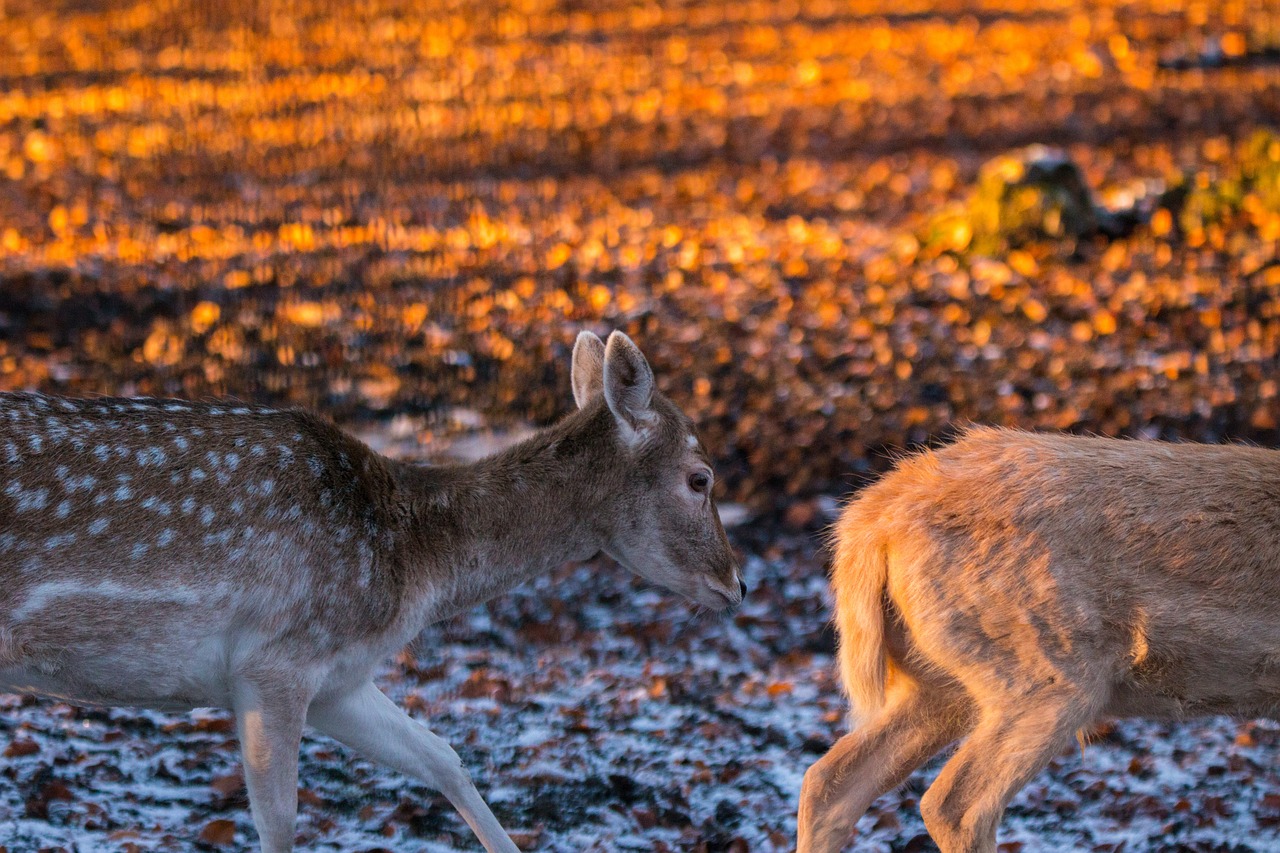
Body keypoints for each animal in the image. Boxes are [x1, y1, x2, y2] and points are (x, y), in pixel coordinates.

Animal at [0, 330, 742, 850]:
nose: (736, 583)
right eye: (700, 477)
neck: (412, 571)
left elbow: (443, 756)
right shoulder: (275, 661)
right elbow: (281, 824)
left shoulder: (340, 680)